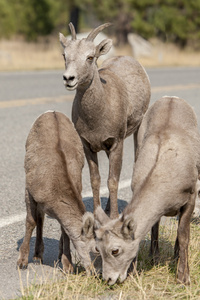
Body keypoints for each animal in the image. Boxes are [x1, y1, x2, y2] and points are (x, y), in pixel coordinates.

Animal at [16, 111, 96, 274]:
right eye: (95, 250)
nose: (94, 272)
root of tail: (51, 112)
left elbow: (64, 229)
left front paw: (68, 265)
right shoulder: (30, 192)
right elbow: (31, 222)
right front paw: (22, 262)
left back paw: (45, 255)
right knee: (39, 219)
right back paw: (37, 257)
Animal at [59, 21, 152, 218]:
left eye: (90, 57)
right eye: (65, 55)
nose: (69, 78)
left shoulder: (116, 143)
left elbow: (113, 181)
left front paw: (114, 217)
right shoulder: (88, 145)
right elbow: (96, 180)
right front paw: (98, 215)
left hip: (137, 130)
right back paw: (108, 207)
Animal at [90, 96, 200, 286]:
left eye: (115, 250)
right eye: (98, 249)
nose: (108, 279)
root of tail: (171, 98)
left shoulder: (190, 199)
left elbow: (183, 235)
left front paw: (183, 278)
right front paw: (138, 269)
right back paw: (155, 256)